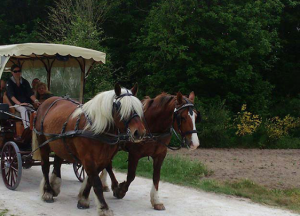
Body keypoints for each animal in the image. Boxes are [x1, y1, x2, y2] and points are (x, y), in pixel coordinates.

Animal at [32, 84, 145, 216]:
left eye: (138, 107)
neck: (96, 128)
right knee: (45, 166)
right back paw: (48, 192)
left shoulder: (103, 160)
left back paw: (54, 186)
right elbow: (96, 182)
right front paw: (104, 207)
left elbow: (92, 180)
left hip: (59, 143)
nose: (139, 132)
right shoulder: (88, 159)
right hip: (43, 143)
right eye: (120, 107)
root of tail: (46, 102)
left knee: (57, 162)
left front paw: (83, 199)